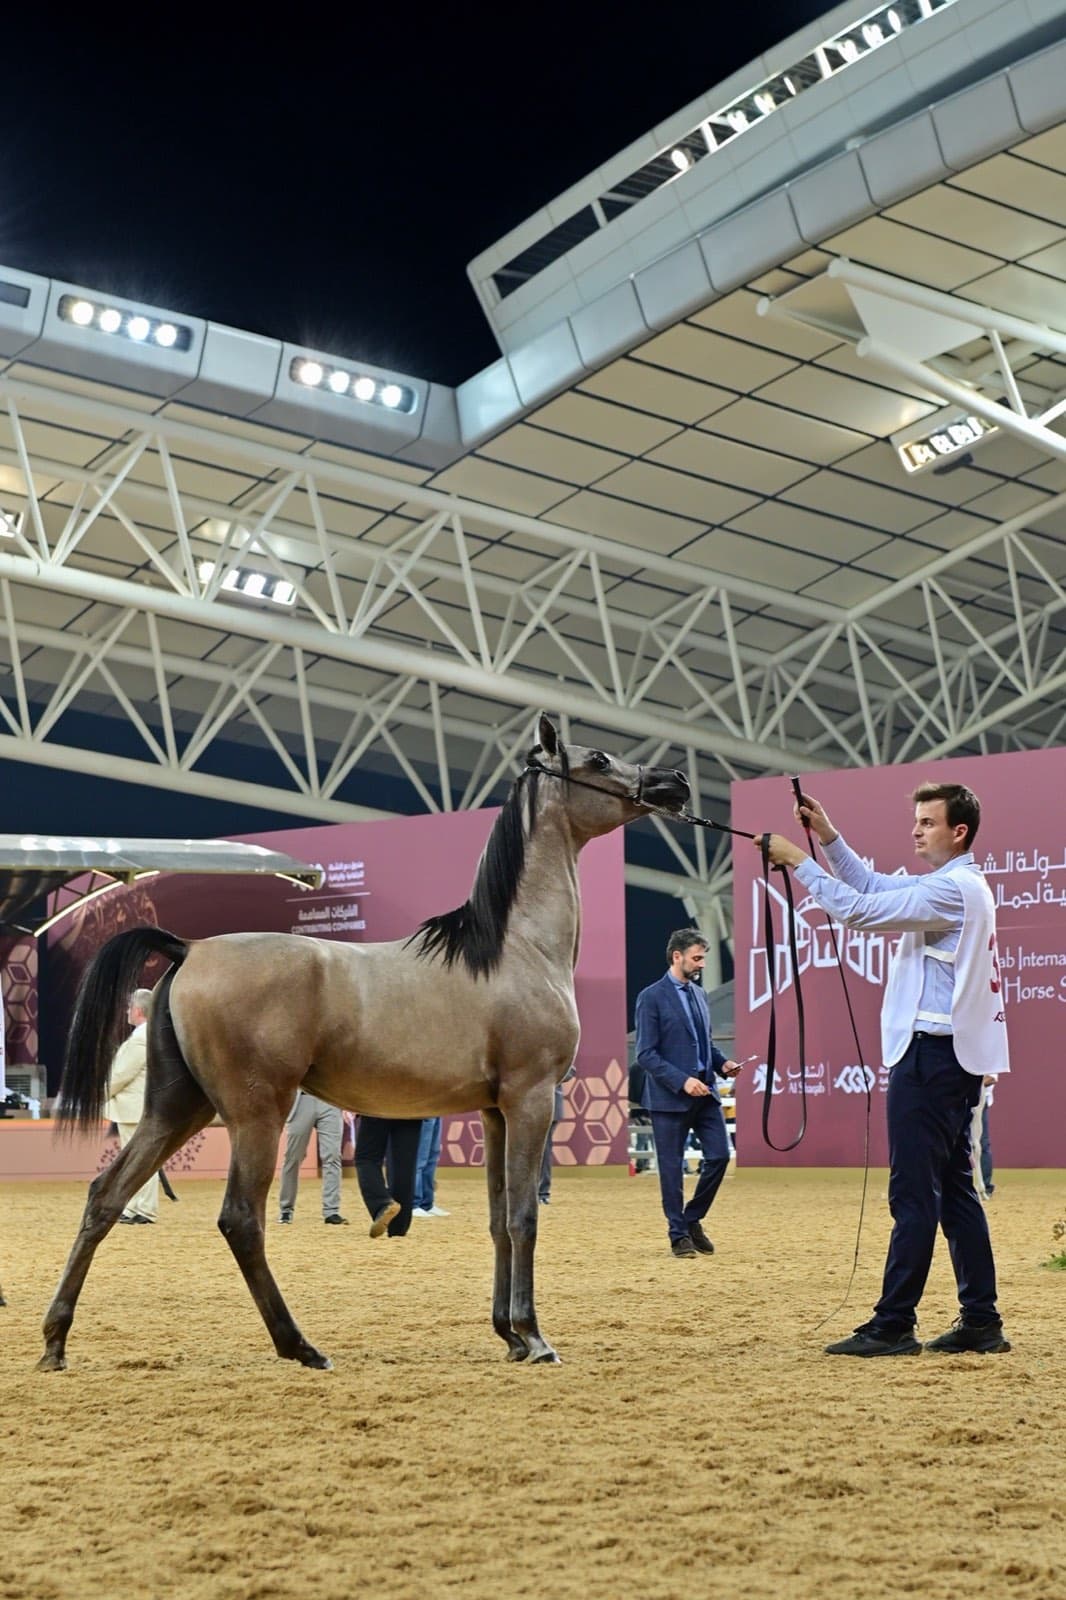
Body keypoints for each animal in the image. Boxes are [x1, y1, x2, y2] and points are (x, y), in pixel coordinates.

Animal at [39, 715, 689, 1372]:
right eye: (599, 759)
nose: (675, 781)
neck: (517, 949)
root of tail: (189, 947)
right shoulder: (529, 1100)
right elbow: (524, 1216)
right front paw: (533, 1338)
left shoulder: (495, 1111)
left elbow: (498, 1218)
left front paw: (507, 1333)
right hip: (254, 1116)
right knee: (240, 1219)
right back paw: (301, 1346)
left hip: (175, 1109)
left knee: (105, 1196)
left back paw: (55, 1343)